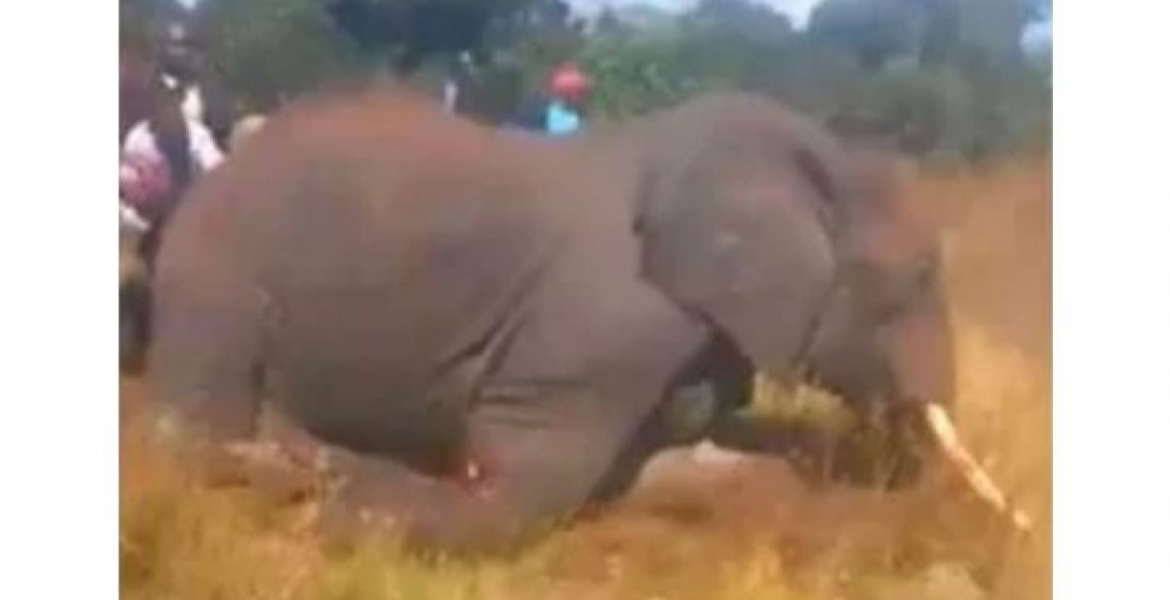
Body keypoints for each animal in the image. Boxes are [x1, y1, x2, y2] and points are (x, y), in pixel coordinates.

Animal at [143, 88, 1029, 554]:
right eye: (918, 278)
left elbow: (674, 456)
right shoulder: (610, 325)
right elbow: (524, 479)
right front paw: (342, 501)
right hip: (214, 277)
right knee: (197, 424)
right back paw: (277, 460)